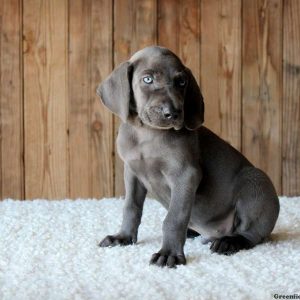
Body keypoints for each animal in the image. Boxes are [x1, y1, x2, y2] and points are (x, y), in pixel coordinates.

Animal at [97, 45, 280, 268]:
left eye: (182, 82)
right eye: (147, 79)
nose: (173, 112)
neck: (146, 135)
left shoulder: (185, 175)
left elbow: (174, 218)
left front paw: (169, 253)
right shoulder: (132, 172)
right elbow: (131, 207)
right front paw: (122, 237)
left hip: (255, 181)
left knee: (251, 234)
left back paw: (229, 242)